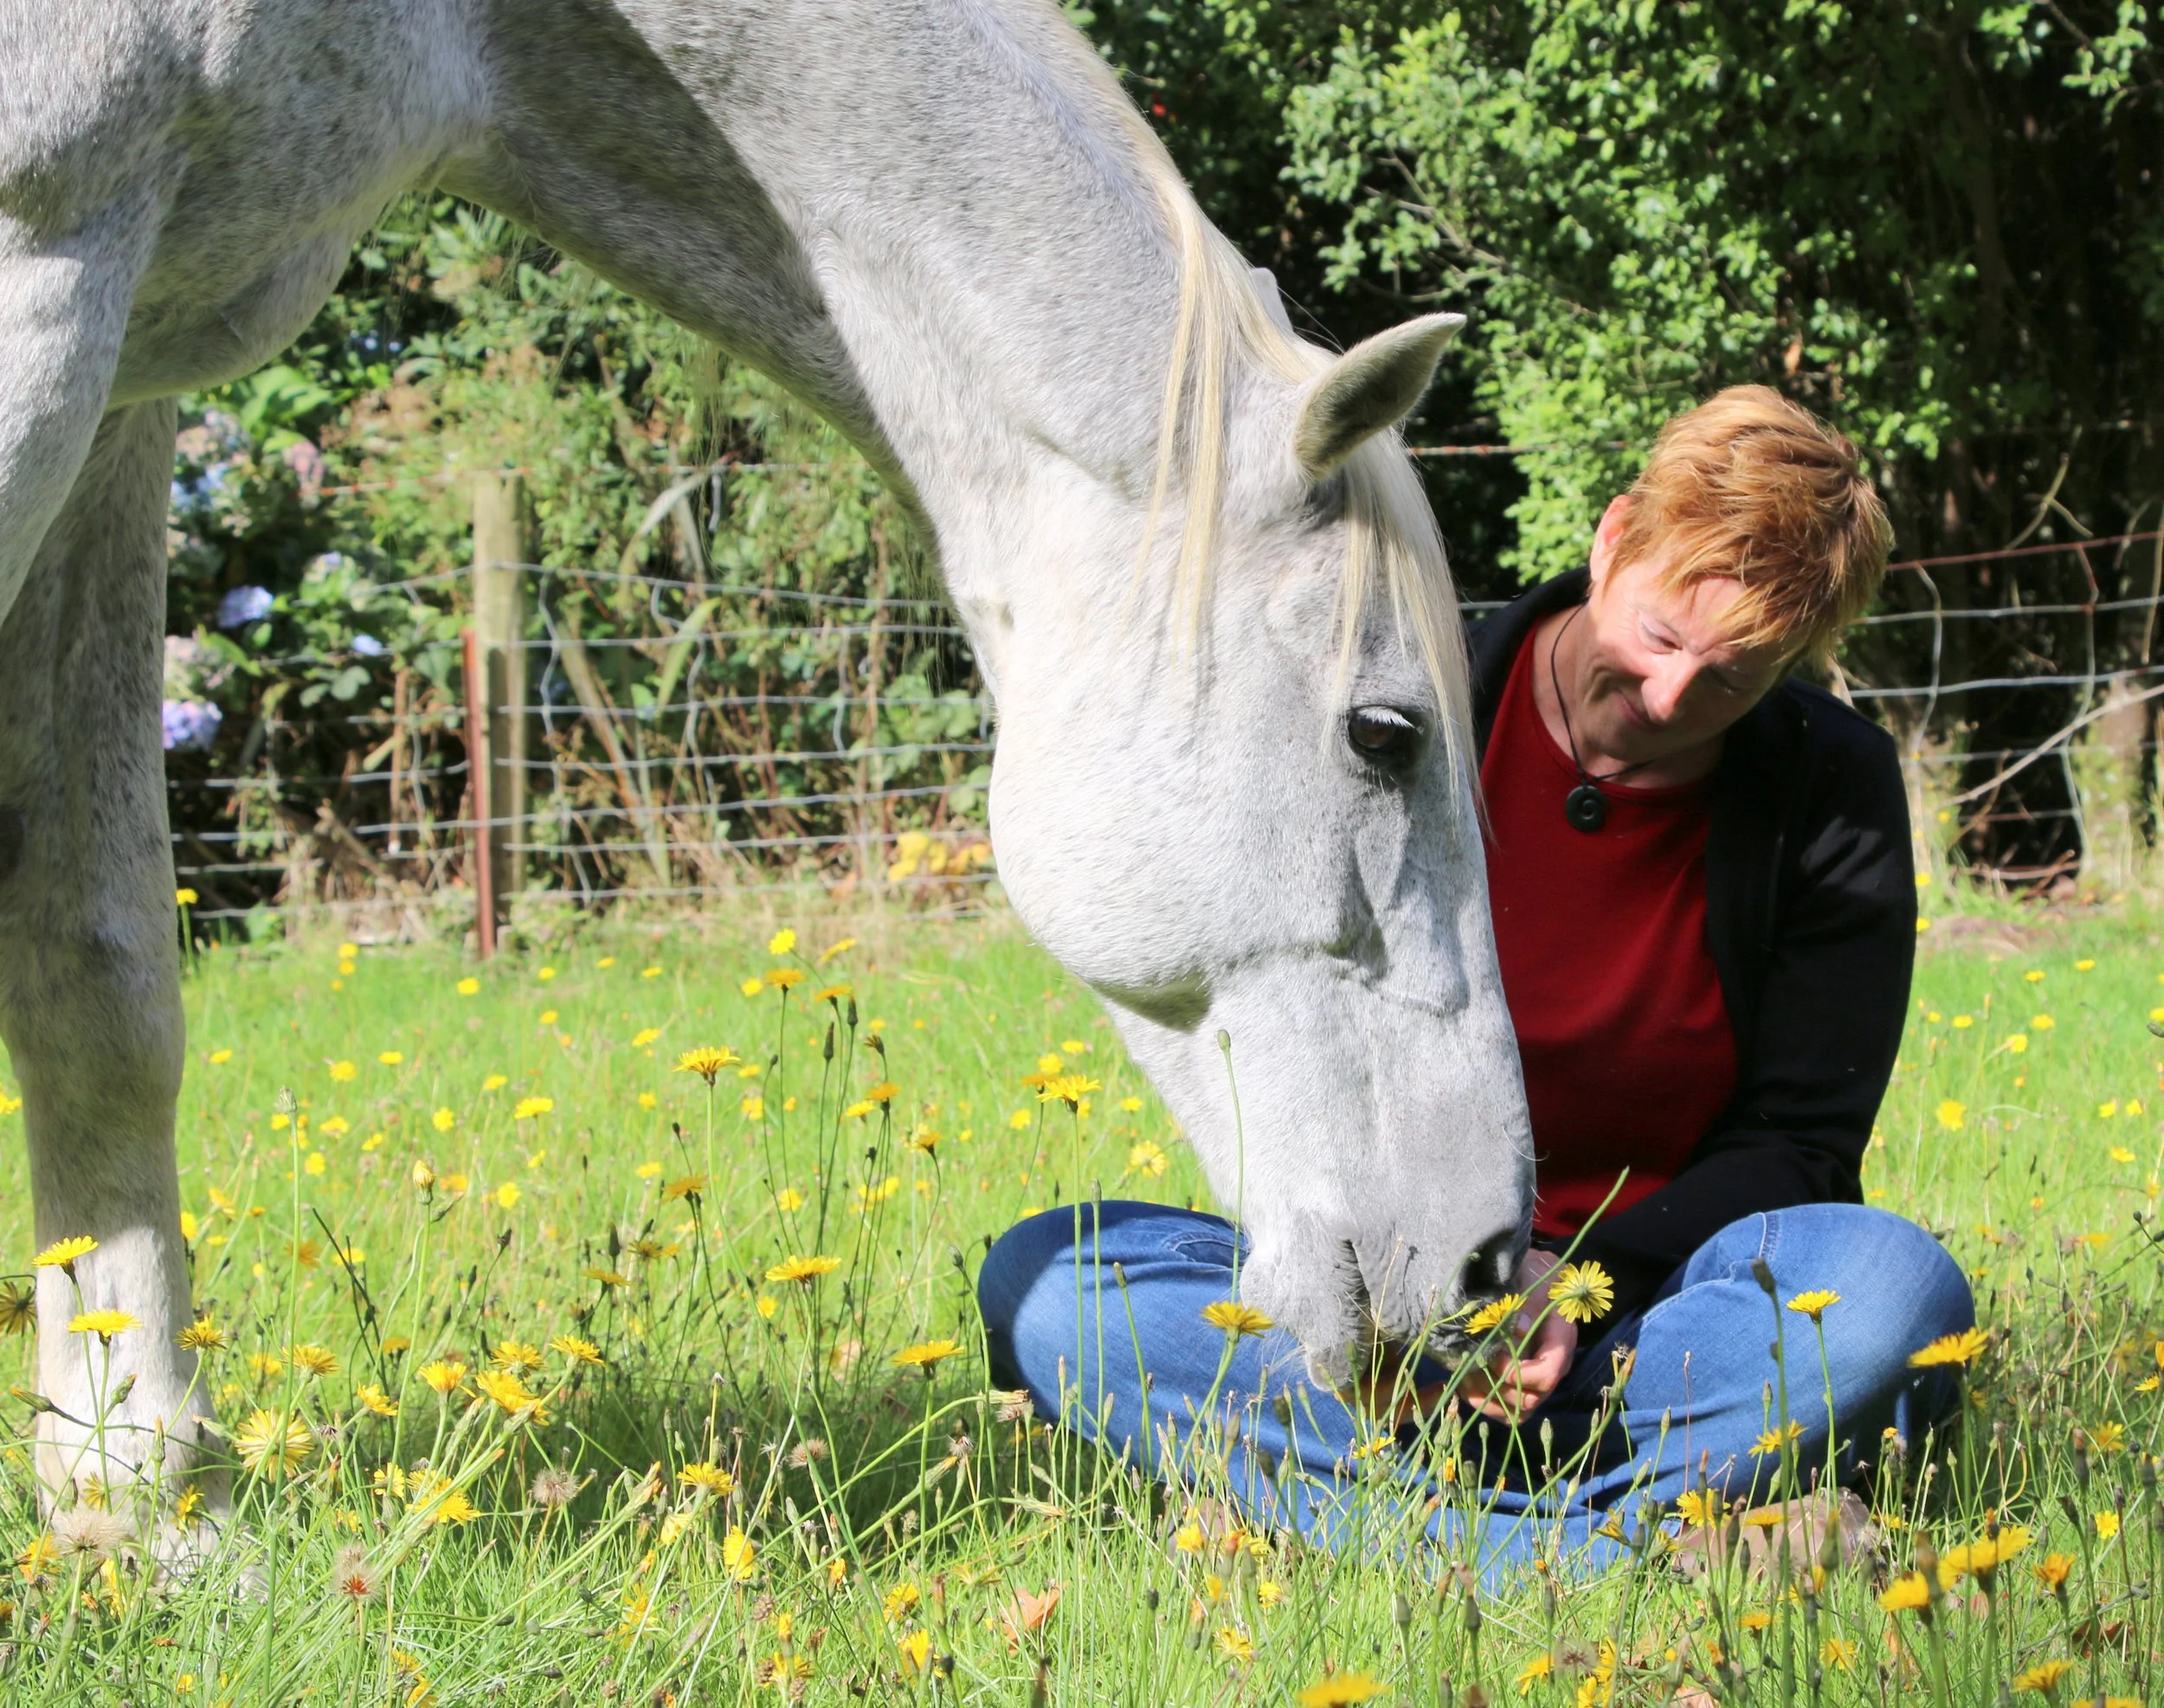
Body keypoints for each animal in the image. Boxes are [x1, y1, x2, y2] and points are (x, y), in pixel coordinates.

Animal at [0, 0, 1534, 1520]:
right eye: (1385, 732)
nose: (1492, 1263)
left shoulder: (133, 375)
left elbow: (103, 982)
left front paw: (136, 1495)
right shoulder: (50, 278)